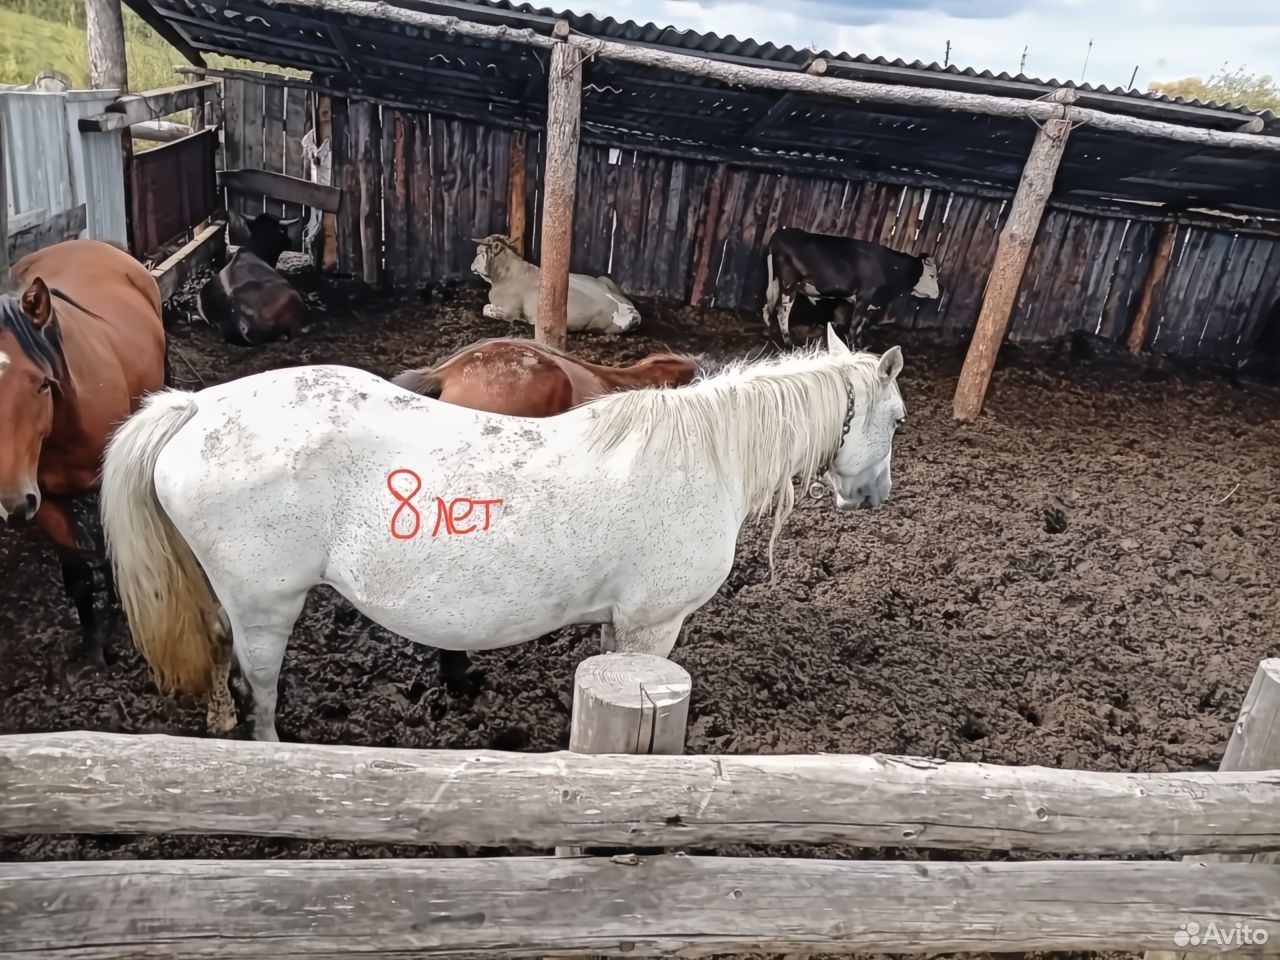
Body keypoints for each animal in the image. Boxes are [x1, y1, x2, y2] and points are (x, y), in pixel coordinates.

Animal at [0, 238, 169, 684]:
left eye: (42, 383)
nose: (12, 503)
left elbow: (111, 553)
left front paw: (116, 627)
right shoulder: (44, 502)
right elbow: (77, 574)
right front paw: (92, 647)